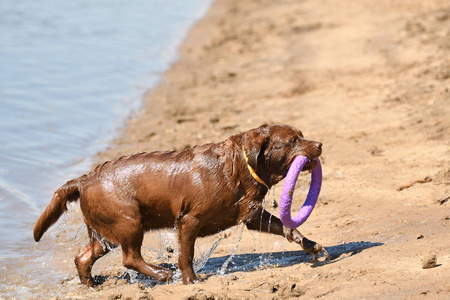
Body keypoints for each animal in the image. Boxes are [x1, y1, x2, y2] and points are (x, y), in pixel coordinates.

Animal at [33, 123, 326, 286]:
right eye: (292, 141)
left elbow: (285, 226)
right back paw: (161, 274)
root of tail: (84, 179)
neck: (238, 166)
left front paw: (310, 245)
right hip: (128, 221)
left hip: (105, 231)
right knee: (130, 258)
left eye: (302, 134)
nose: (320, 143)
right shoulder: (188, 220)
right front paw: (190, 280)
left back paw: (92, 285)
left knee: (84, 257)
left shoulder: (251, 214)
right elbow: (186, 255)